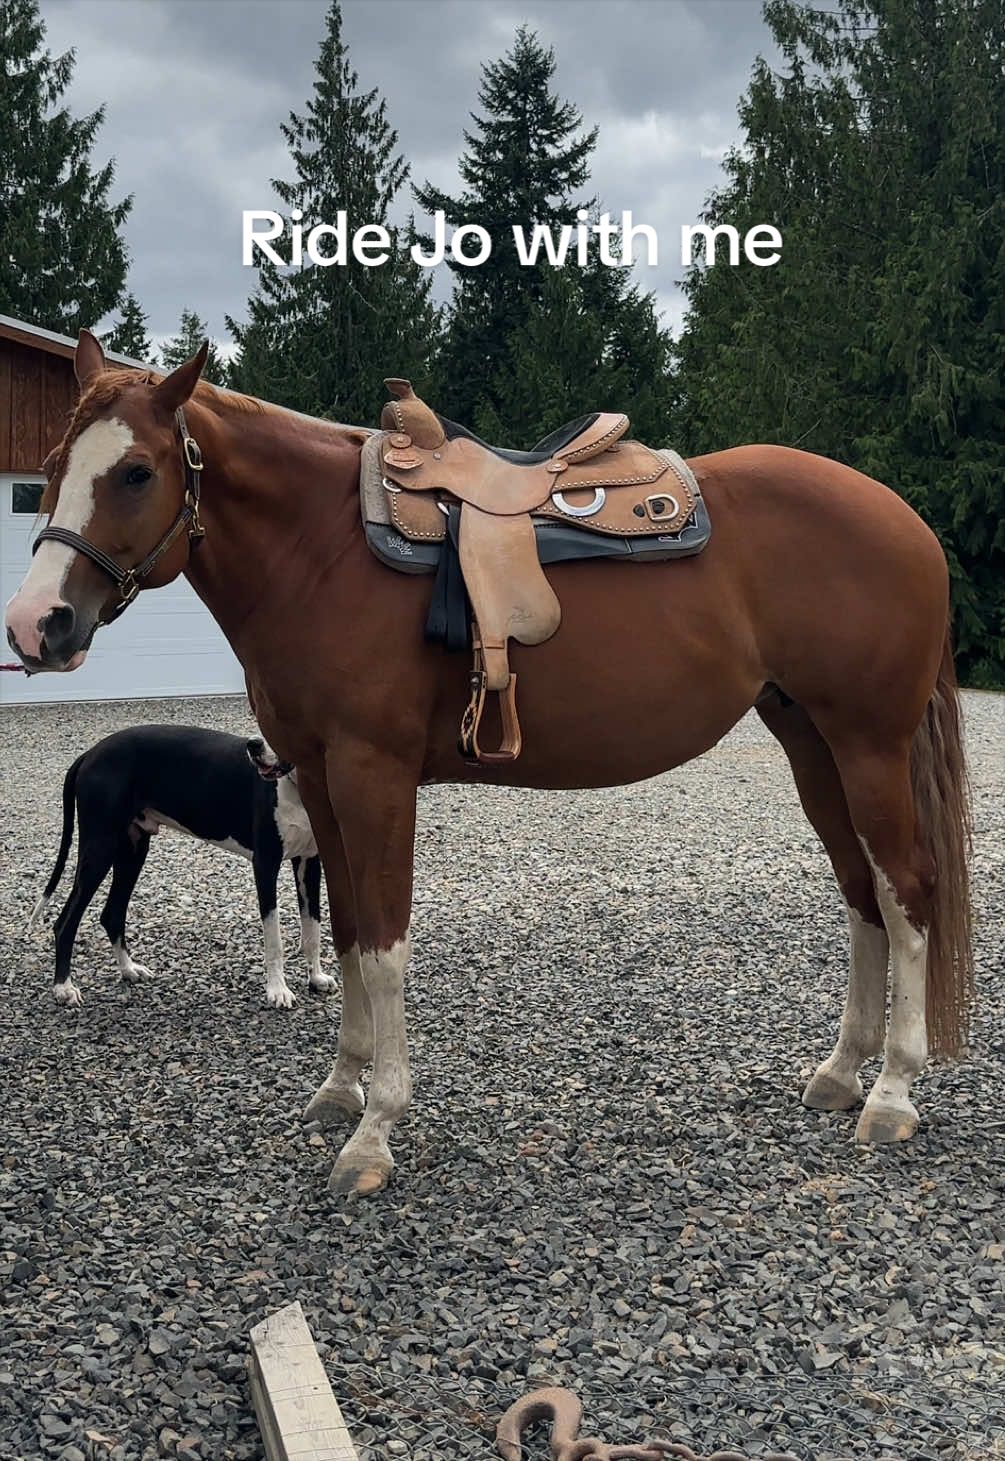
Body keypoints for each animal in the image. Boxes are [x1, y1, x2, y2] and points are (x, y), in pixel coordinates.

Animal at [4, 330, 974, 1198]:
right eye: (50, 464)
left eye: (135, 471)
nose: (36, 625)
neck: (321, 553)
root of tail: (906, 521)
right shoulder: (317, 781)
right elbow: (344, 932)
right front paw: (338, 1089)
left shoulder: (373, 776)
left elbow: (384, 944)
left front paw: (374, 1131)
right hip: (811, 743)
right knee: (859, 892)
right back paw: (841, 1071)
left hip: (868, 745)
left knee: (906, 890)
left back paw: (890, 1093)